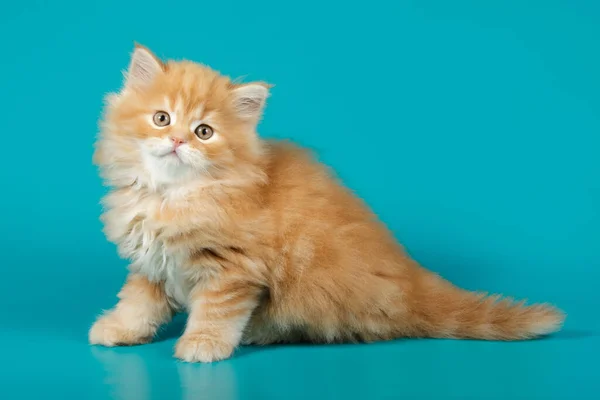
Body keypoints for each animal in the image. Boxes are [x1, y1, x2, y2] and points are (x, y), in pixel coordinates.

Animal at [89, 43, 564, 362]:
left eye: (204, 132)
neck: (172, 196)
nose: (176, 141)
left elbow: (216, 312)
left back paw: (259, 333)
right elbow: (139, 303)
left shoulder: (232, 269)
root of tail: (412, 282)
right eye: (161, 118)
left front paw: (202, 345)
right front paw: (118, 329)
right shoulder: (152, 262)